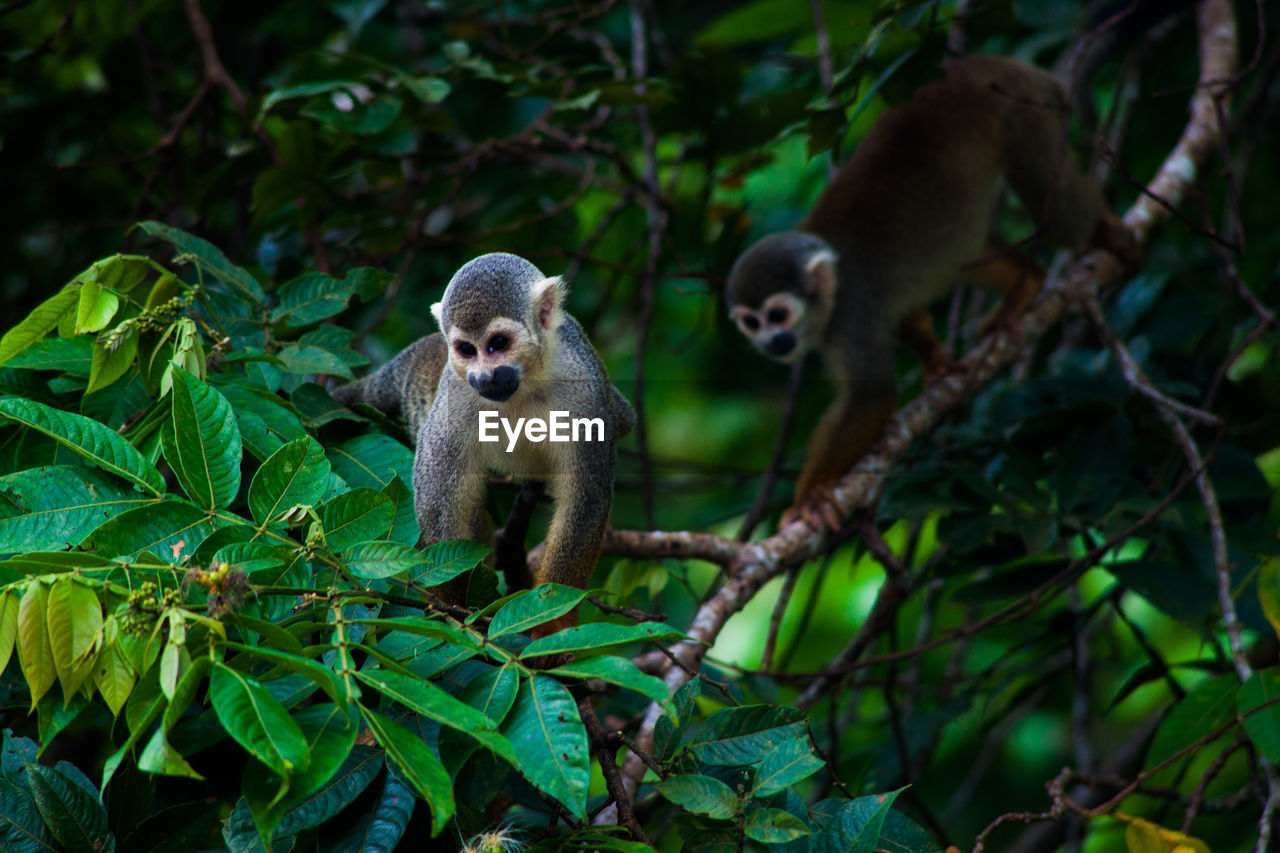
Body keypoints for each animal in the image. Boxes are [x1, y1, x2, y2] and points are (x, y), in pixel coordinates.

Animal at [333, 253, 635, 636]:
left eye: (499, 343)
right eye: (467, 349)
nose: (485, 376)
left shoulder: (585, 388)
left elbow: (587, 501)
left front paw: (552, 621)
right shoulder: (456, 394)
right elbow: (438, 508)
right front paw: (450, 612)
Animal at [725, 54, 1136, 531]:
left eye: (778, 315)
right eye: (751, 323)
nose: (771, 342)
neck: (829, 295)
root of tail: (986, 63)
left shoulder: (851, 314)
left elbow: (872, 398)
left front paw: (812, 496)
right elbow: (903, 314)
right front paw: (935, 361)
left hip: (1025, 112)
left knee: (1058, 218)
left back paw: (1105, 230)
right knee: (962, 248)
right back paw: (1028, 279)